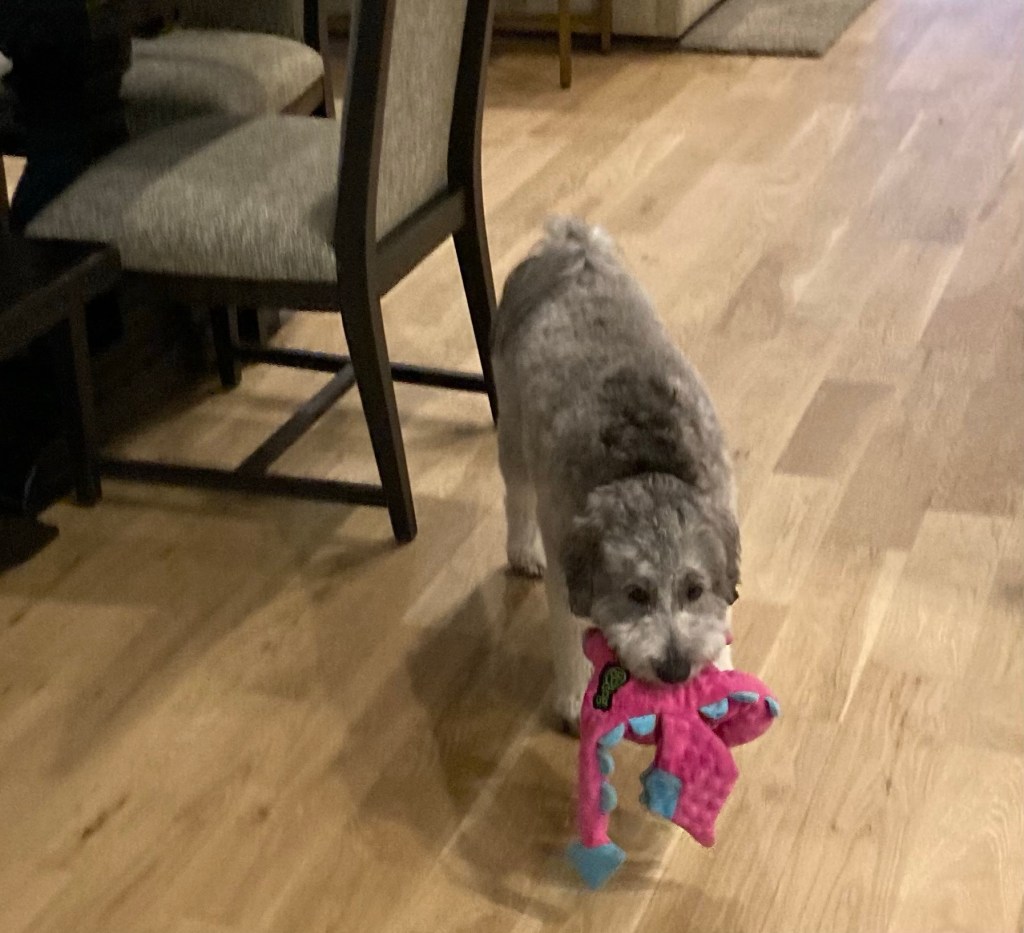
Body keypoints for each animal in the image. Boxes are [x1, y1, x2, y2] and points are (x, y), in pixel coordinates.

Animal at [492, 218, 740, 731]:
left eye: (694, 589)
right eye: (635, 593)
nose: (676, 669)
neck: (643, 467)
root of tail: (570, 245)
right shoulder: (563, 552)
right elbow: (568, 631)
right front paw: (573, 698)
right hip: (512, 430)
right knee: (516, 497)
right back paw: (521, 550)